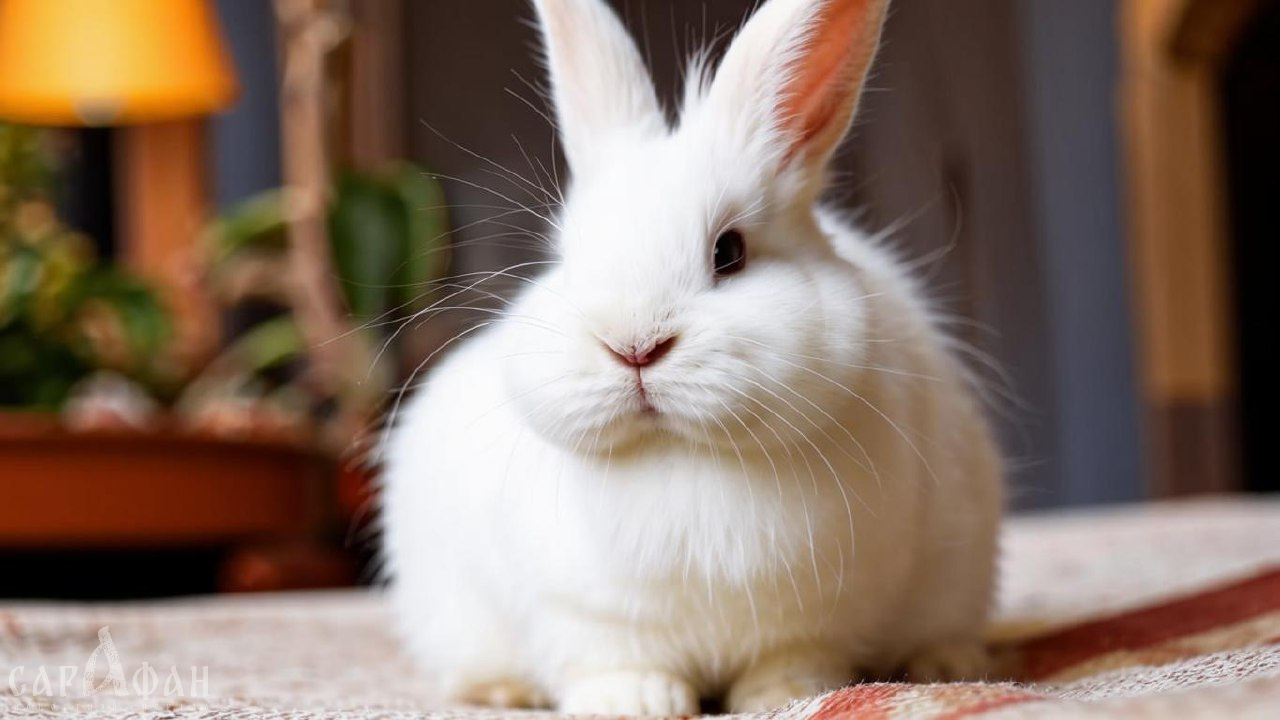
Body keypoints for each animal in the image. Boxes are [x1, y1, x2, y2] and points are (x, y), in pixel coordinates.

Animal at [381, 0, 1002, 714]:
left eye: (729, 252)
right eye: (566, 258)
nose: (634, 346)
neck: (679, 453)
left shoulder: (818, 616)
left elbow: (796, 658)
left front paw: (779, 695)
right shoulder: (585, 619)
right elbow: (612, 661)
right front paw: (635, 702)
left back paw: (946, 663)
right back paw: (504, 691)